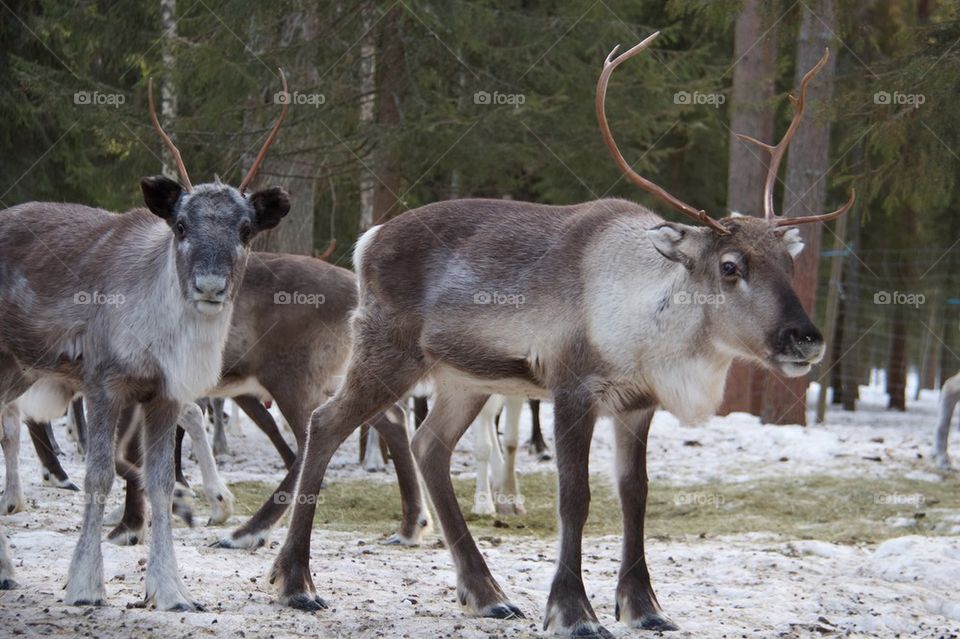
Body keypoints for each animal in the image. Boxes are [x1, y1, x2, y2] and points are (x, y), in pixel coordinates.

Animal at [0, 73, 291, 610]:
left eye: (246, 229)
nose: (210, 287)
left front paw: (170, 590)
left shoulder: (165, 396)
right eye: (180, 224)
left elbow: (160, 482)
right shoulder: (101, 382)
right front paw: (84, 585)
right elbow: (99, 476)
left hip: (17, 371)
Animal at [262, 32, 854, 634]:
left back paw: (486, 593)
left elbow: (635, 496)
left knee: (429, 445)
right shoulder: (572, 388)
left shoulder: (637, 405)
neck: (649, 329)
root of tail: (367, 240)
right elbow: (577, 497)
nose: (805, 338)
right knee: (325, 423)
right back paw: (296, 582)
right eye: (731, 265)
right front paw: (574, 610)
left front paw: (644, 606)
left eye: (788, 261)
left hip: (463, 379)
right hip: (388, 351)